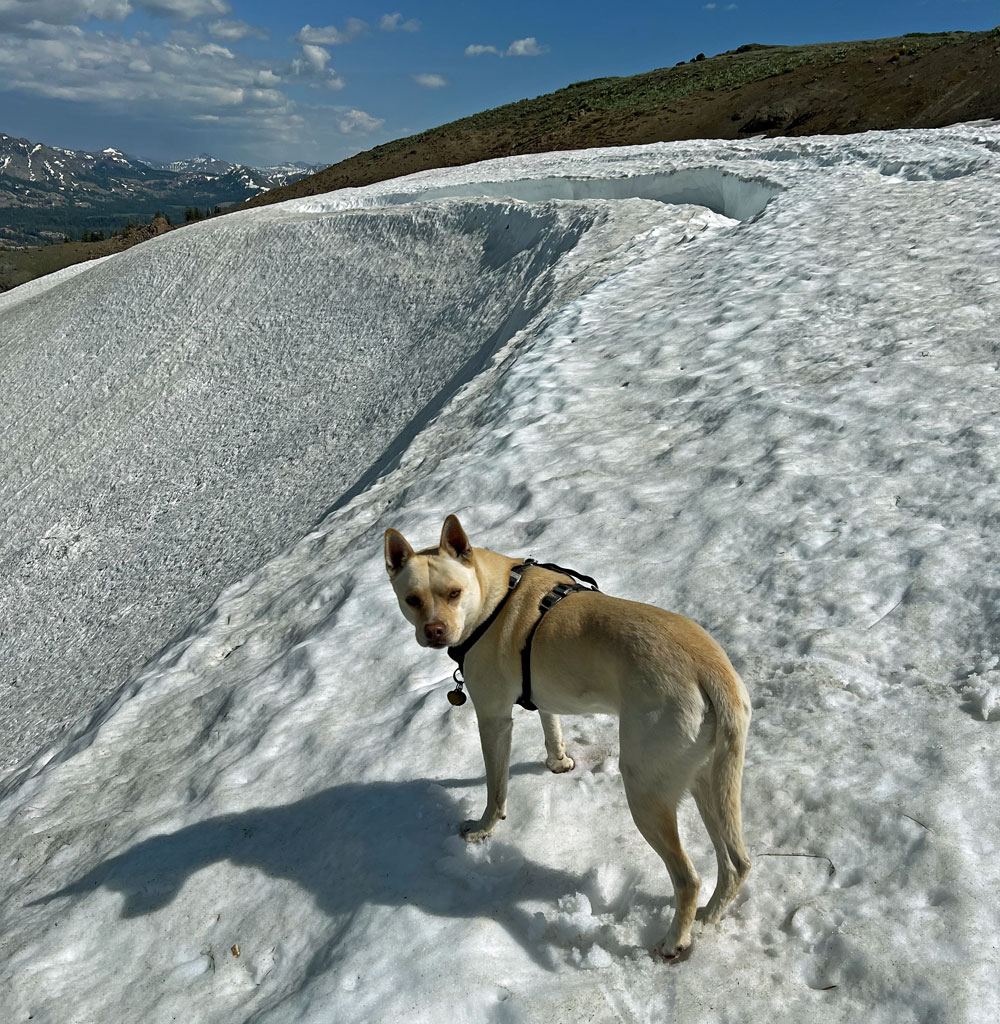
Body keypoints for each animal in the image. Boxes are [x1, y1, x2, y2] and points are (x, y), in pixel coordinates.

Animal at [382, 516, 749, 962]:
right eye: (412, 599)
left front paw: (483, 830)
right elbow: (551, 727)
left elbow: (495, 788)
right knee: (737, 862)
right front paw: (558, 762)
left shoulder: (493, 719)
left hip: (645, 789)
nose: (434, 631)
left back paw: (673, 942)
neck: (493, 596)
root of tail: (712, 669)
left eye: (454, 593)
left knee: (687, 878)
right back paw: (710, 916)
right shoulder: (545, 696)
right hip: (707, 779)